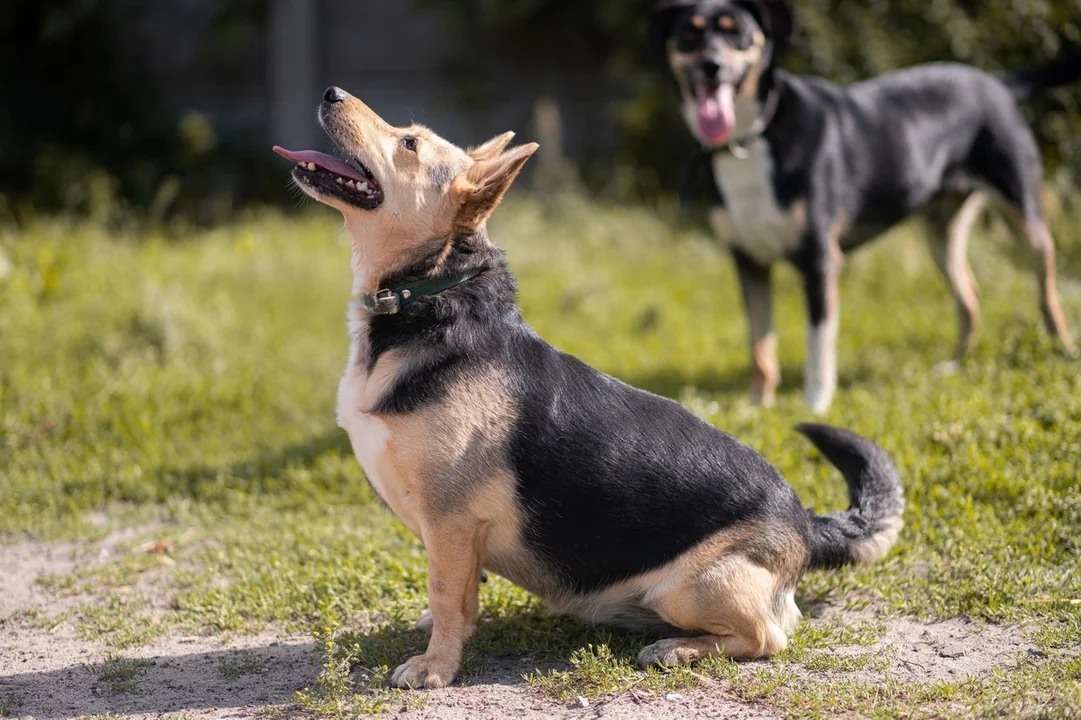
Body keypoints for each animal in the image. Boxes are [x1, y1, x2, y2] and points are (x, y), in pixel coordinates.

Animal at [272, 87, 903, 687]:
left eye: (409, 144)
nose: (331, 93)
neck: (431, 291)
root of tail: (805, 523)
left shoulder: (451, 522)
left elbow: (450, 598)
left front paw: (435, 668)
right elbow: (453, 595)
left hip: (687, 587)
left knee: (770, 635)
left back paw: (677, 649)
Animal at [644, 0, 1076, 412]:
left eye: (737, 34)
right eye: (689, 35)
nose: (711, 66)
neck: (751, 140)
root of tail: (997, 83)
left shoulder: (820, 259)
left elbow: (818, 339)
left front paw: (816, 402)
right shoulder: (748, 260)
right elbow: (759, 344)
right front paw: (756, 405)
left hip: (1024, 213)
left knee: (1048, 293)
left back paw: (1063, 351)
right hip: (941, 232)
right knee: (969, 296)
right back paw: (956, 367)